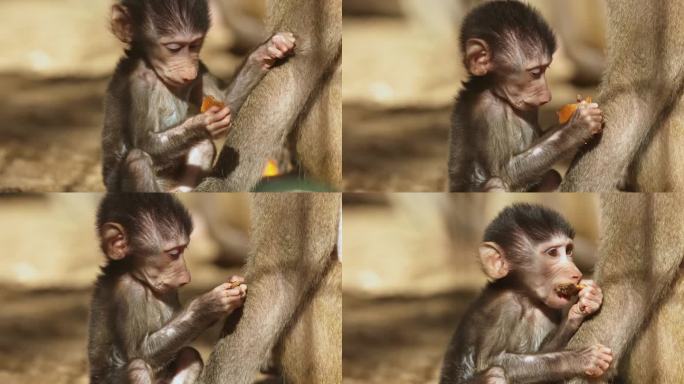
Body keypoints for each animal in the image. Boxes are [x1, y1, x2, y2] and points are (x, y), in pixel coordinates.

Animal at [88, 194, 247, 382]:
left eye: (184, 249)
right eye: (174, 254)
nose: (186, 276)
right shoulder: (129, 291)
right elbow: (138, 352)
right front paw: (209, 305)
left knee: (190, 355)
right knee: (137, 368)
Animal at [103, 0, 296, 192]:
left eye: (195, 45)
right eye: (173, 48)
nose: (189, 69)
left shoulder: (200, 69)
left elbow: (225, 100)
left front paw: (267, 50)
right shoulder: (136, 83)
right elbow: (143, 142)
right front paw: (204, 124)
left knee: (204, 146)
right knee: (138, 162)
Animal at [440, 202, 612, 382]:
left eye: (569, 251)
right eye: (553, 253)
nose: (576, 273)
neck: (525, 298)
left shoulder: (547, 311)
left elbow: (546, 349)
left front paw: (584, 304)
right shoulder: (503, 307)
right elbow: (490, 360)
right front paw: (581, 358)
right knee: (495, 374)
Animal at [448, 0, 604, 192]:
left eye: (546, 68)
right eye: (535, 73)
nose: (547, 96)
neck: (497, 93)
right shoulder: (489, 110)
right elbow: (505, 171)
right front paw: (577, 127)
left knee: (551, 176)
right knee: (495, 184)